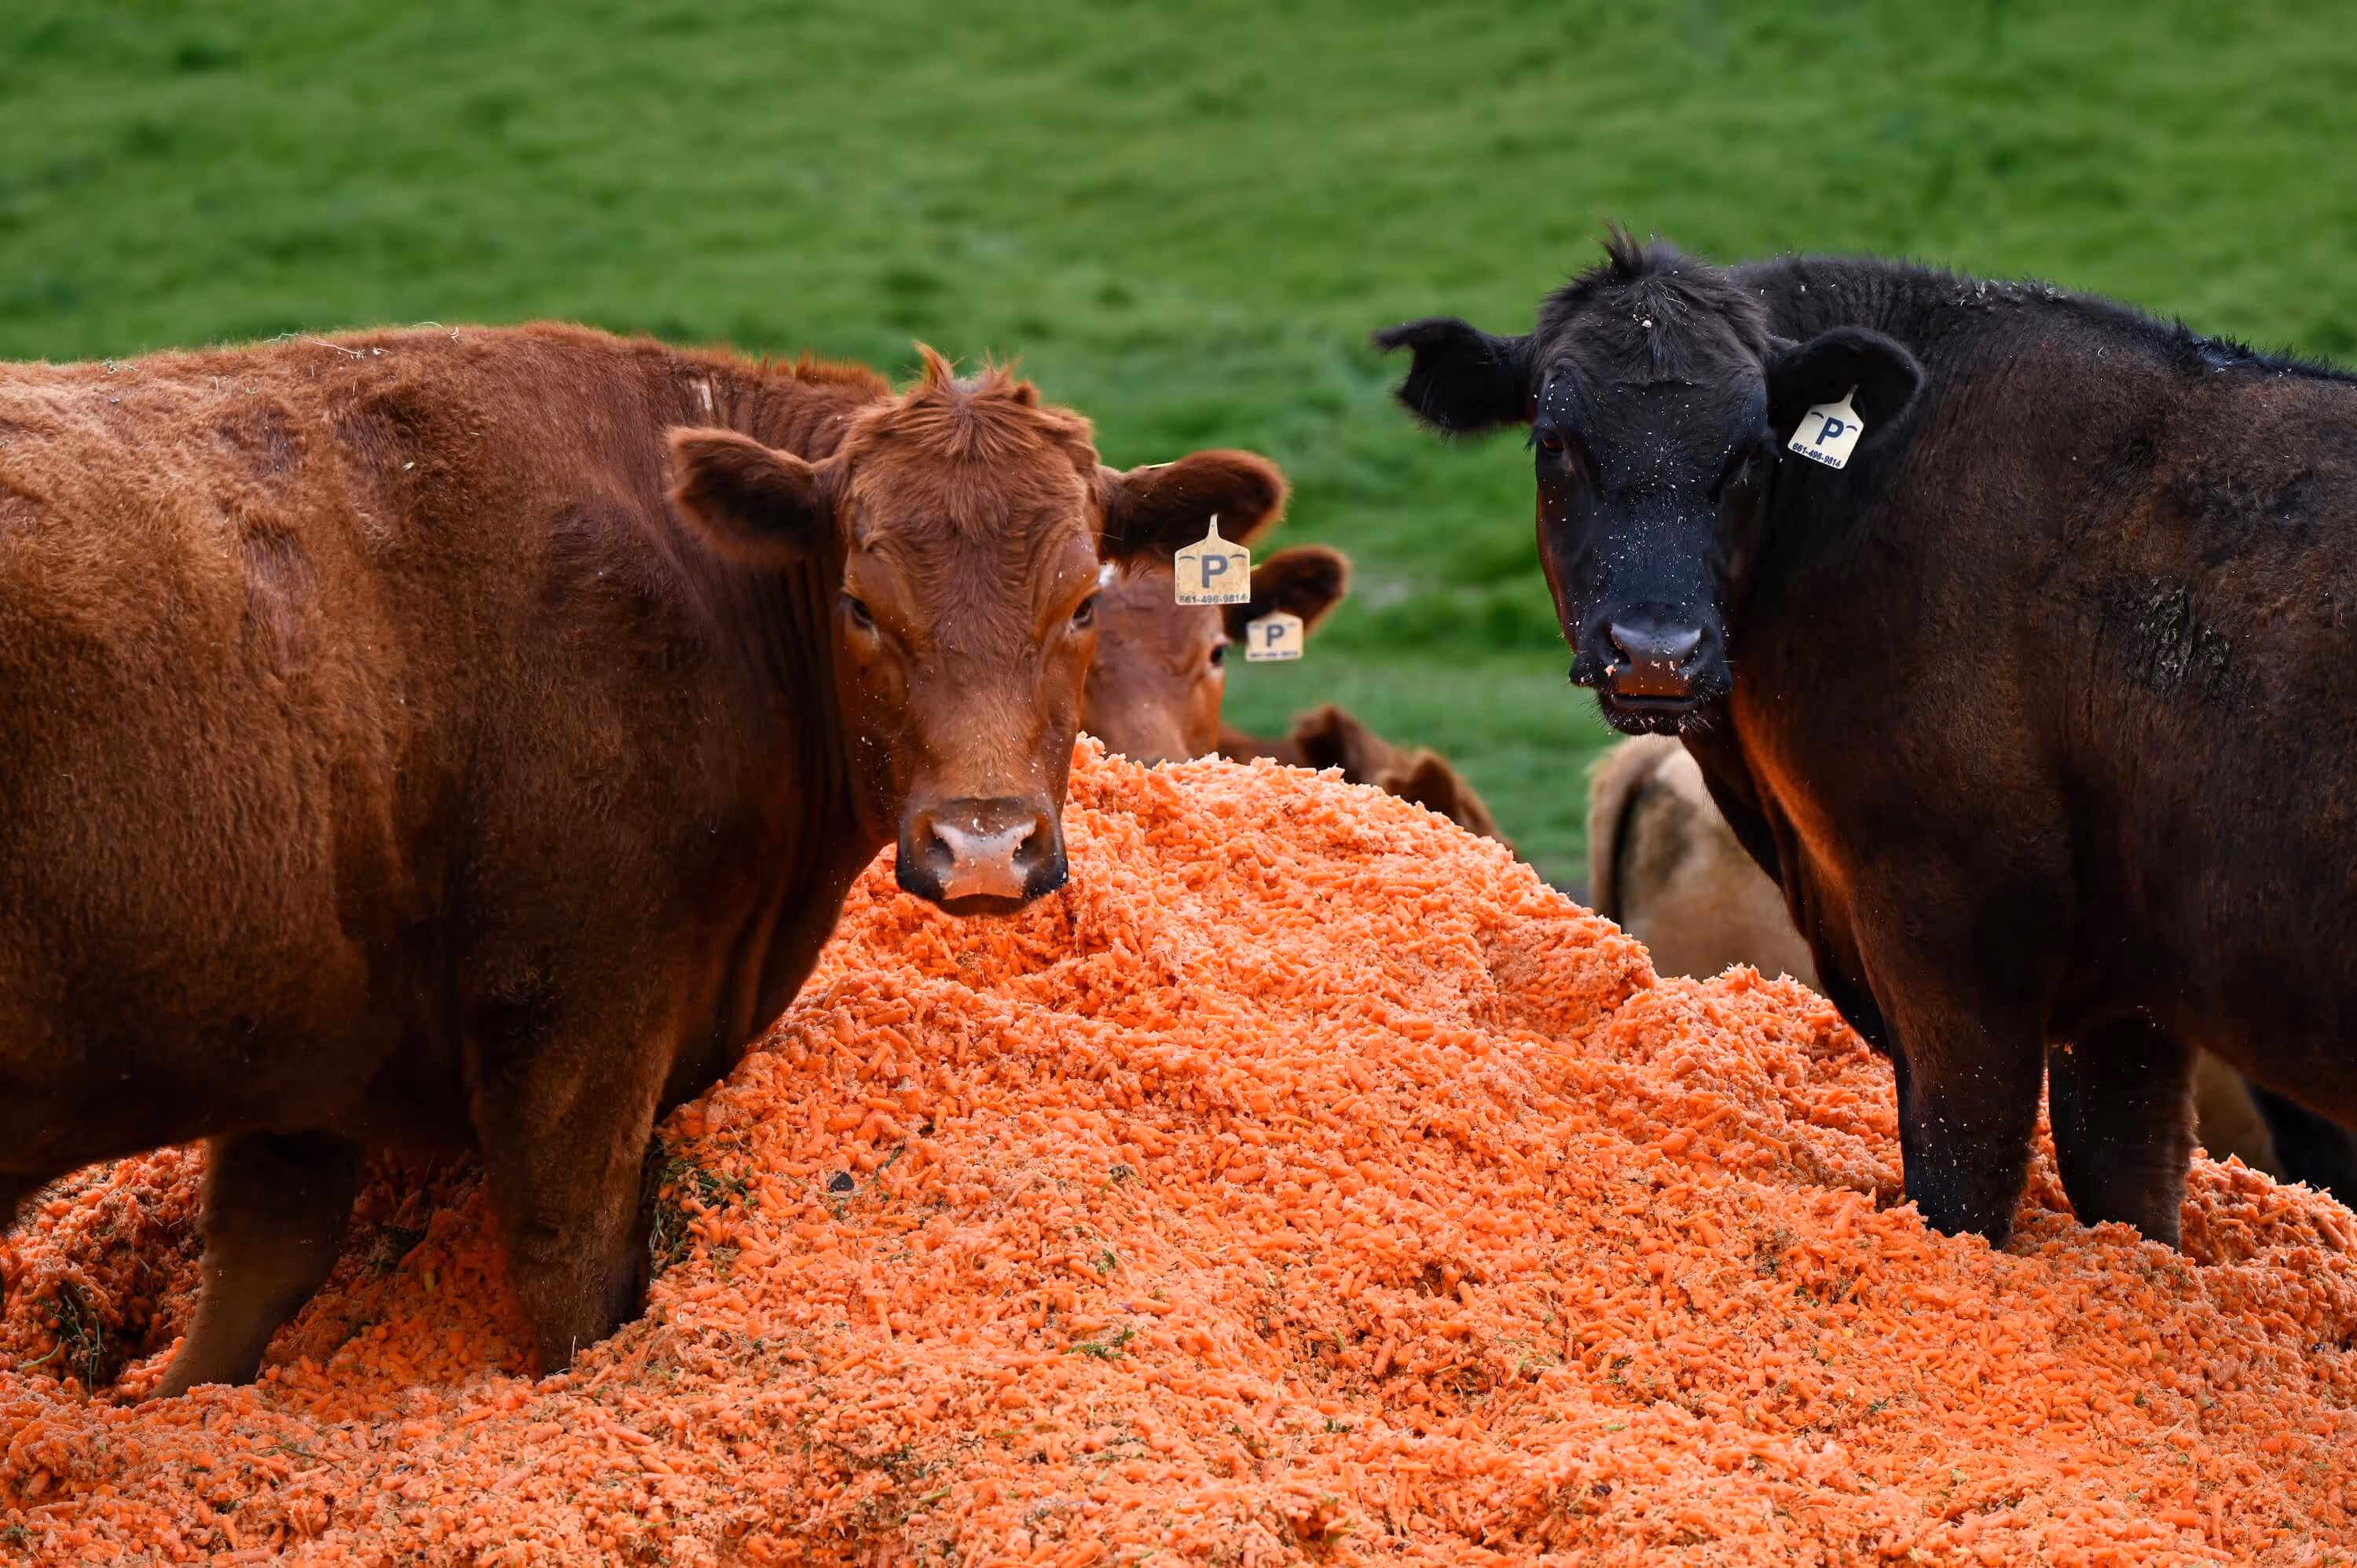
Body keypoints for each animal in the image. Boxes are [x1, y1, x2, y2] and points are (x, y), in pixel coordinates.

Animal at [0, 326, 1286, 1393]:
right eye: (861, 605)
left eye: (1081, 605)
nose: (984, 842)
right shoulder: (576, 1022)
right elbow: (574, 1279)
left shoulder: (304, 1041)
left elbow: (252, 1278)